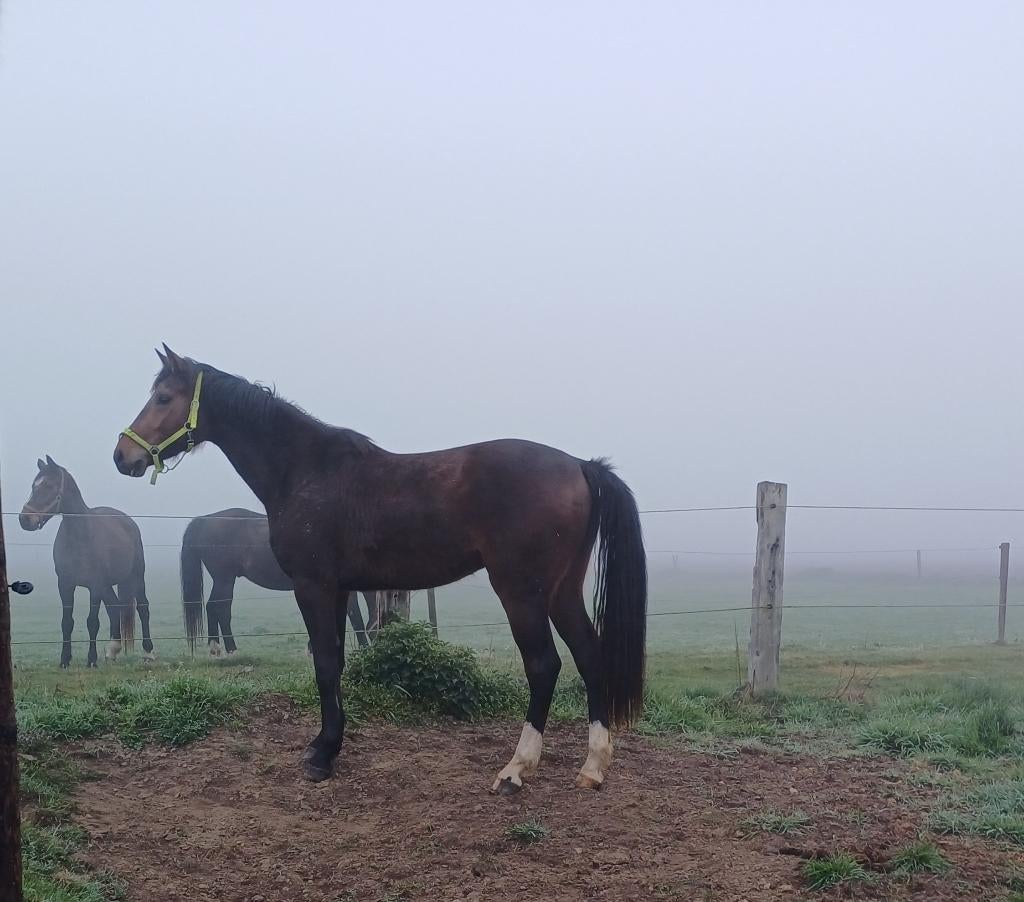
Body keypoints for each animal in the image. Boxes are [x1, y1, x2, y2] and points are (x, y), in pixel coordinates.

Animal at [20, 456, 155, 667]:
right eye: (34, 486)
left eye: (49, 486)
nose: (25, 520)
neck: (79, 537)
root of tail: (128, 521)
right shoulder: (65, 584)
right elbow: (67, 622)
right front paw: (65, 660)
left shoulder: (95, 585)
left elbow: (92, 622)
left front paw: (91, 660)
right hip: (107, 586)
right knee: (114, 607)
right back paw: (112, 649)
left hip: (135, 577)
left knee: (143, 607)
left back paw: (148, 653)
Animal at [181, 508, 375, 655]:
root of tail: (204, 520)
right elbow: (356, 617)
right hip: (225, 579)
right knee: (220, 608)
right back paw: (230, 649)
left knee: (212, 607)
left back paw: (215, 649)